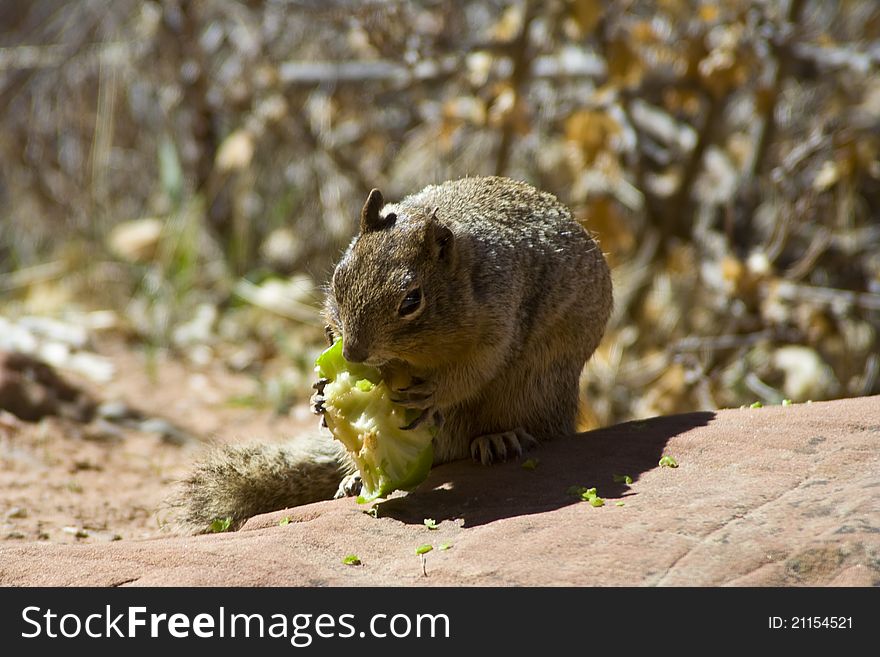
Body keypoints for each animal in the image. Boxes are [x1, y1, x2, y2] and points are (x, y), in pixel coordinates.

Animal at [172, 176, 612, 532]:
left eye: (411, 301)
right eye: (339, 277)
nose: (352, 351)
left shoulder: (498, 324)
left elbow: (473, 370)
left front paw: (434, 394)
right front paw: (319, 391)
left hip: (534, 387)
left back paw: (500, 438)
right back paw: (352, 478)